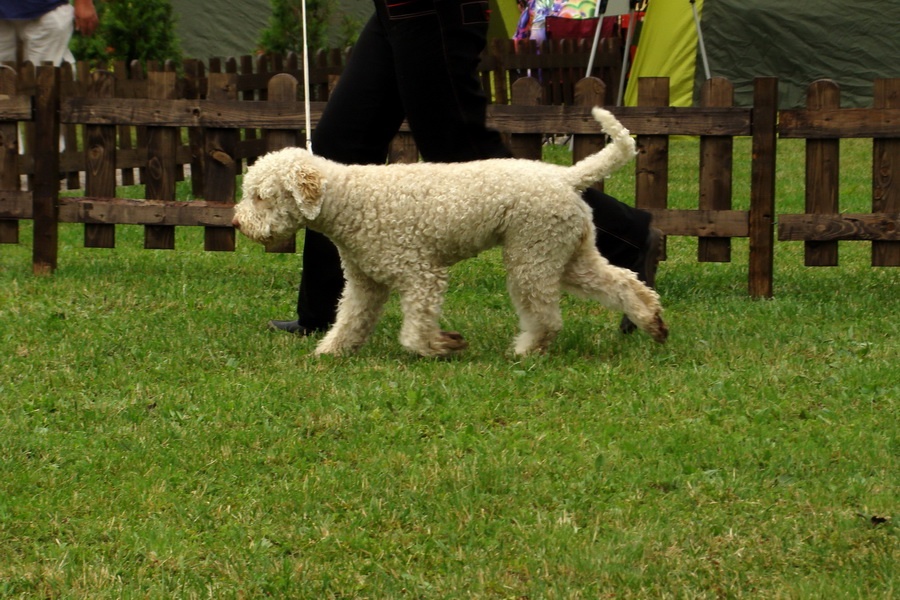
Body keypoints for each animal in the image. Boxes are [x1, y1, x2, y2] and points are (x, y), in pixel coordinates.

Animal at [232, 108, 668, 356]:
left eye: (260, 196)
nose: (237, 222)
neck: (350, 200)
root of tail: (565, 177)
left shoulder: (421, 275)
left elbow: (415, 331)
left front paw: (442, 345)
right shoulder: (365, 284)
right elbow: (350, 320)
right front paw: (330, 352)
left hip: (532, 256)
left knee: (546, 317)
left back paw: (526, 350)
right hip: (566, 254)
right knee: (622, 283)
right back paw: (652, 322)